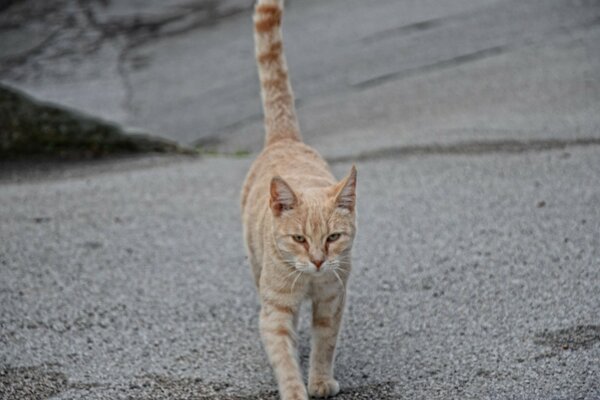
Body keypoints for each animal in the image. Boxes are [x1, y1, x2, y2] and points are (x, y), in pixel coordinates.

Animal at [241, 0, 358, 400]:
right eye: (299, 239)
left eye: (333, 238)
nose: (319, 261)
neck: (308, 282)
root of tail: (284, 139)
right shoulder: (276, 310)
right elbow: (283, 356)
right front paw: (295, 390)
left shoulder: (332, 300)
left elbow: (325, 344)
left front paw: (319, 381)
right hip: (255, 266)